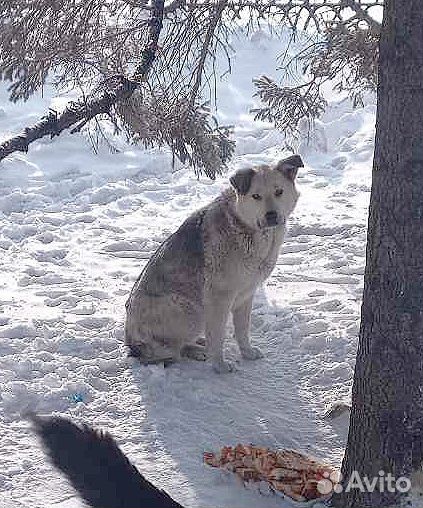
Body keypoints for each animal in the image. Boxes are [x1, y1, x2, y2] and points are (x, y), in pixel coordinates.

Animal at [124, 155, 304, 374]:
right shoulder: (219, 298)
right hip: (189, 310)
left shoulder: (246, 295)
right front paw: (219, 365)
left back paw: (199, 345)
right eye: (256, 196)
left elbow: (242, 330)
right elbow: (217, 336)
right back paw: (197, 350)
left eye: (279, 192)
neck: (247, 230)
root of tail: (131, 342)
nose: (271, 215)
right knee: (169, 351)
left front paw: (247, 353)